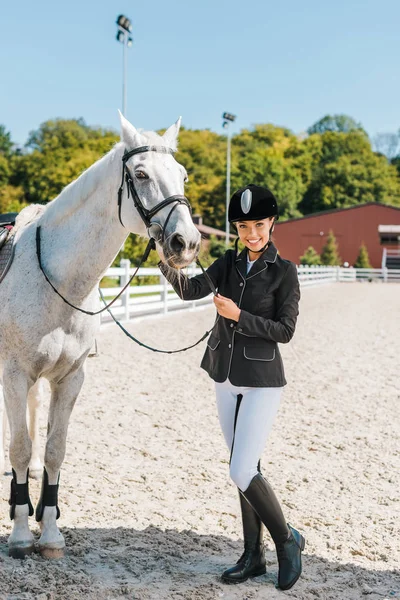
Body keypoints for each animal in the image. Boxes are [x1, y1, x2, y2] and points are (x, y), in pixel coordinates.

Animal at [0, 111, 200, 556]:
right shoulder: (14, 374)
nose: (186, 243)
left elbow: (54, 450)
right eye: (140, 173)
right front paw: (21, 535)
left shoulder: (70, 378)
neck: (55, 278)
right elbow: (19, 447)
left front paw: (49, 532)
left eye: (182, 175)